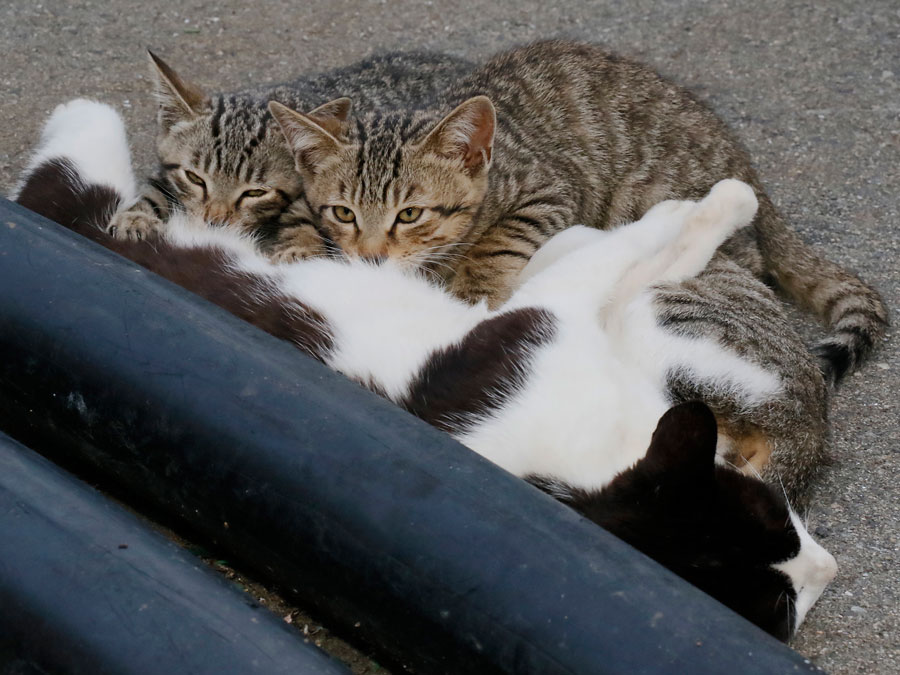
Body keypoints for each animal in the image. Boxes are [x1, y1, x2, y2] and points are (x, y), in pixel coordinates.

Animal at [10, 97, 836, 640]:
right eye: (773, 517)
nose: (828, 571)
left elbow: (601, 257)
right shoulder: (547, 316)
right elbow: (624, 245)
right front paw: (720, 202)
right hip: (105, 214)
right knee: (58, 178)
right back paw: (84, 113)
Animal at [266, 38, 884, 386]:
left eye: (411, 215)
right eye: (344, 213)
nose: (371, 257)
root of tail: (751, 170)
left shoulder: (548, 187)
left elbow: (499, 241)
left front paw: (473, 289)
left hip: (645, 196)